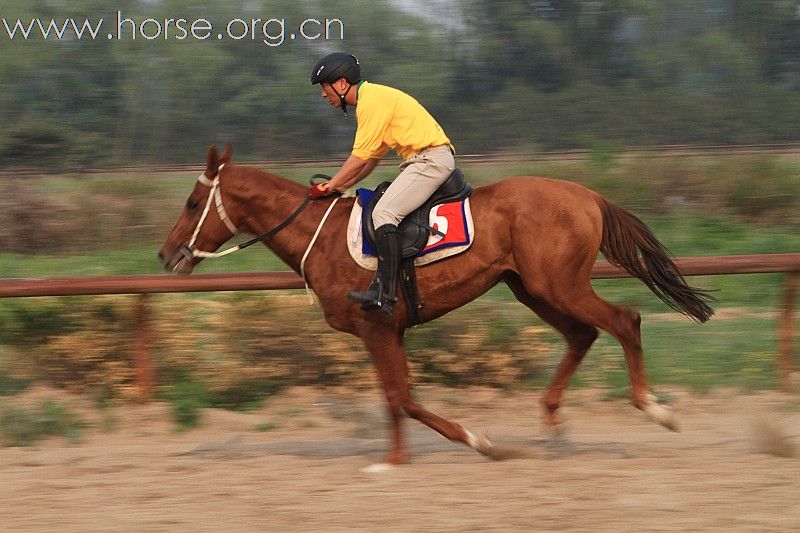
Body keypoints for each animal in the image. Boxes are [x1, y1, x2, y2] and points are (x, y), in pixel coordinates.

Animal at [159, 144, 716, 470]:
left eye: (191, 203)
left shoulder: (377, 327)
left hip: (560, 286)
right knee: (583, 336)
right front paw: (403, 456)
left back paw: (654, 408)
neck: (321, 236)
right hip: (532, 289)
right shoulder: (389, 332)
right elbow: (398, 398)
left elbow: (401, 398)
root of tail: (588, 195)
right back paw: (553, 423)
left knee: (625, 321)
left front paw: (471, 442)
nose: (166, 255)